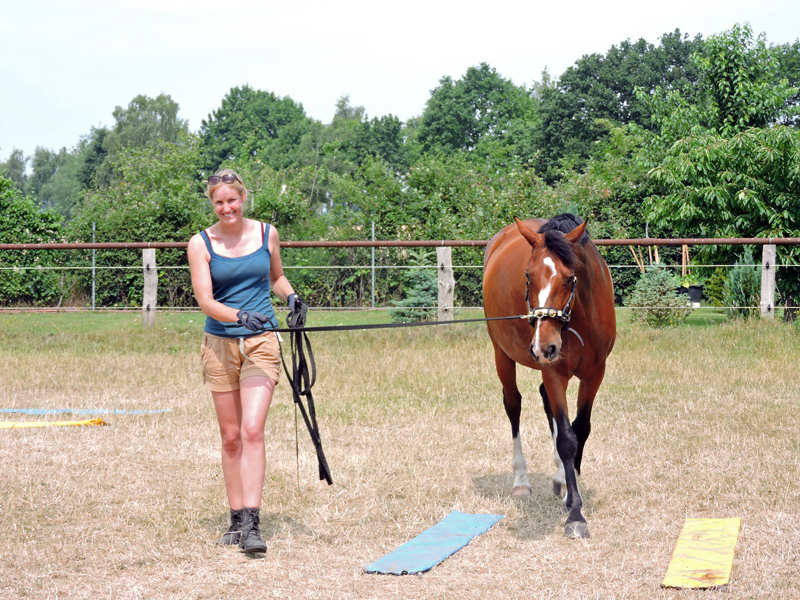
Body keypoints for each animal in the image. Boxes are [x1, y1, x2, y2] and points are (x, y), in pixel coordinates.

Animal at [482, 214, 620, 540]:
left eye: (570, 278)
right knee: (513, 405)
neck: (581, 317)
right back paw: (521, 480)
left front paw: (569, 489)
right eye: (528, 276)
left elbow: (580, 429)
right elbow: (568, 439)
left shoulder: (595, 373)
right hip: (501, 354)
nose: (543, 346)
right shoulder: (554, 372)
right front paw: (575, 514)